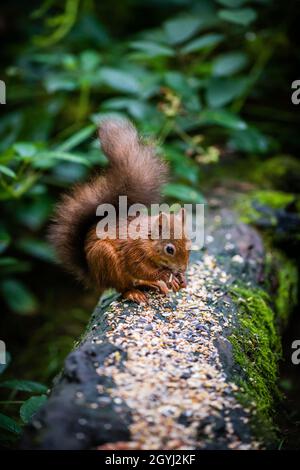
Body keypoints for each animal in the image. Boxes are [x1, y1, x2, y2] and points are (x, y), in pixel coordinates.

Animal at [49, 119, 190, 302]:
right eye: (169, 249)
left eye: (188, 244)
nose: (183, 268)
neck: (147, 240)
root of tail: (94, 276)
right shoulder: (133, 251)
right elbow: (141, 268)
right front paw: (166, 276)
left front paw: (180, 279)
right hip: (106, 259)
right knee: (123, 286)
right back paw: (134, 292)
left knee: (137, 281)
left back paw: (153, 285)